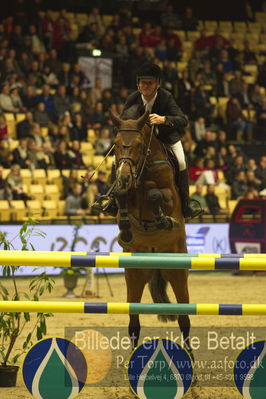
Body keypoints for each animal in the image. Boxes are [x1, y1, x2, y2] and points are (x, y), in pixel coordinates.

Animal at [109, 109, 192, 356]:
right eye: (116, 144)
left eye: (138, 144)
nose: (124, 176)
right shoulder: (127, 191)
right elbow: (121, 195)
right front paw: (126, 231)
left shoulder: (170, 195)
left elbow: (155, 194)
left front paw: (164, 220)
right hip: (134, 275)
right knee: (134, 323)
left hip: (178, 273)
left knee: (185, 319)